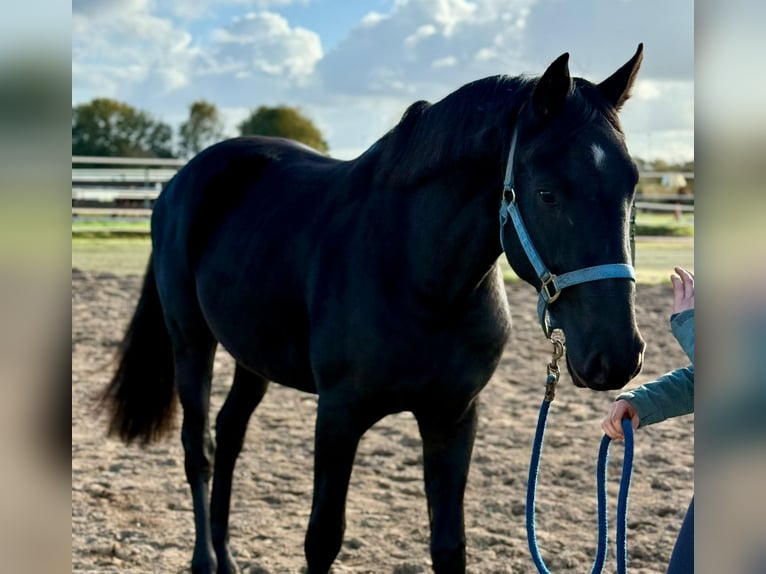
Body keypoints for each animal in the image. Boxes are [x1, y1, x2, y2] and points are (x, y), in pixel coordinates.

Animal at [102, 44, 646, 574]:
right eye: (547, 193)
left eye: (632, 187)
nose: (618, 354)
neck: (418, 278)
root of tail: (178, 183)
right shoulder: (338, 416)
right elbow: (322, 539)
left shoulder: (453, 417)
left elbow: (449, 546)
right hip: (191, 340)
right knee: (200, 449)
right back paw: (204, 559)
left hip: (251, 356)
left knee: (230, 432)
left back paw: (228, 556)